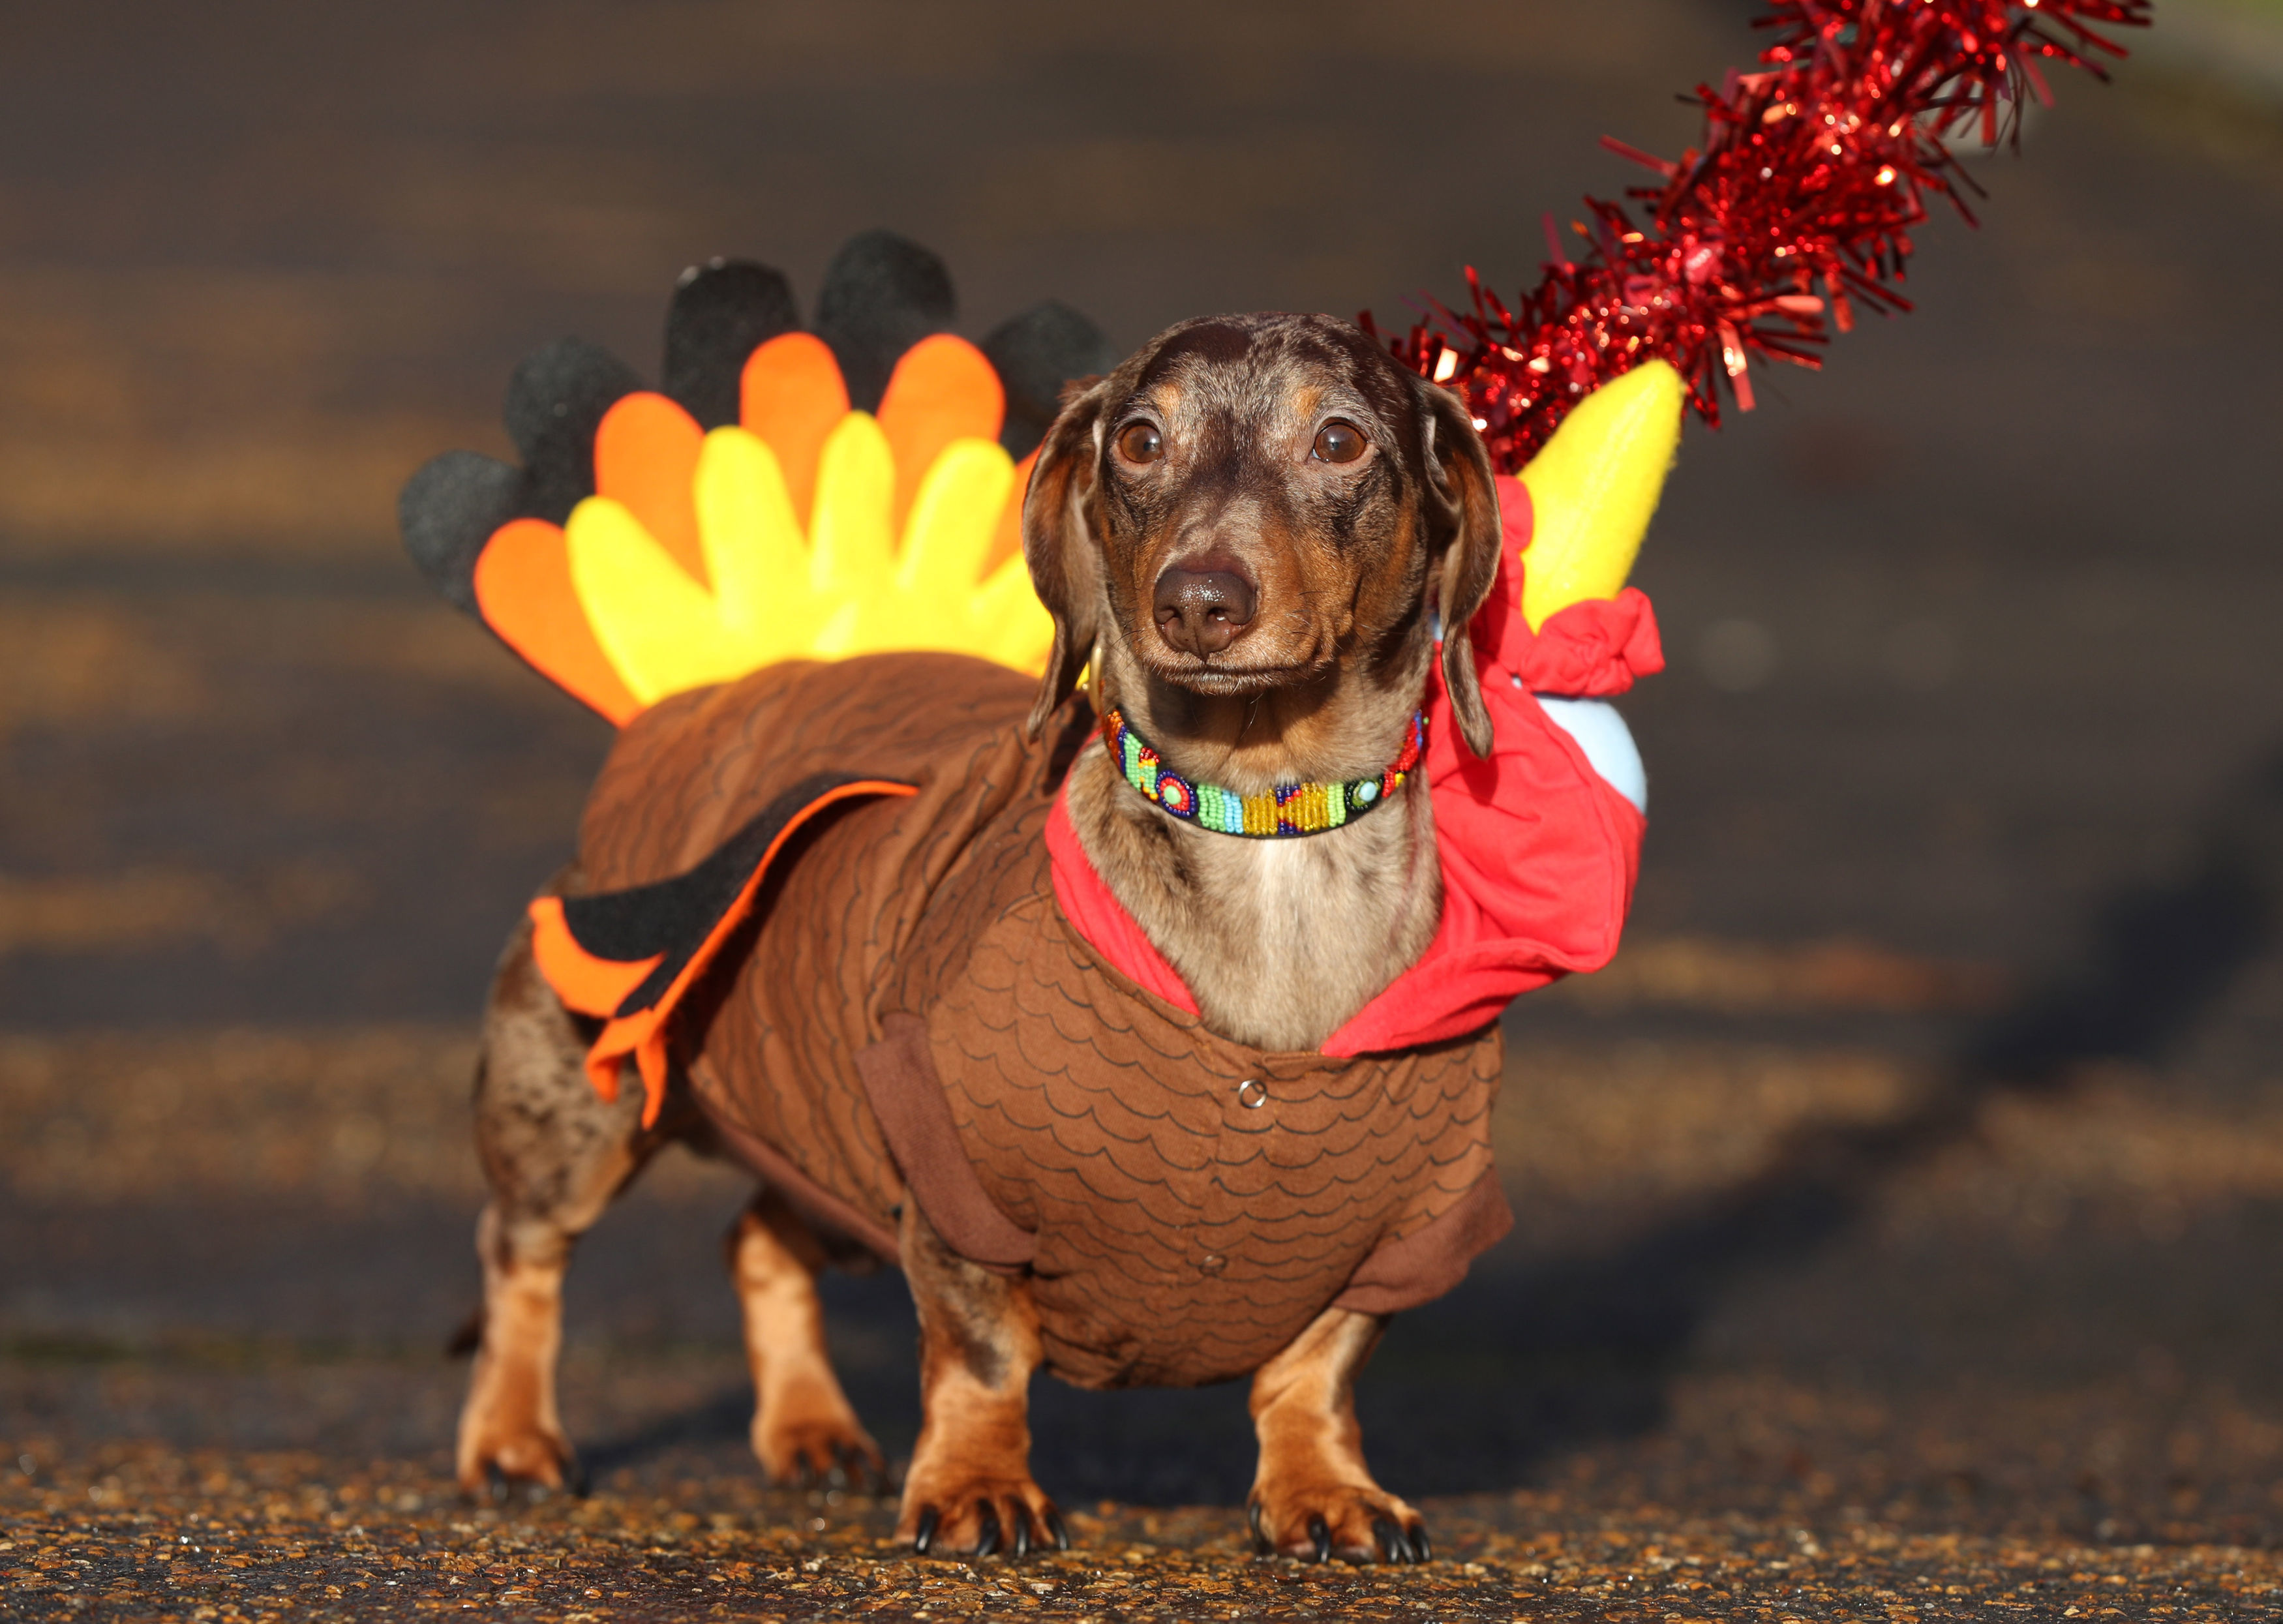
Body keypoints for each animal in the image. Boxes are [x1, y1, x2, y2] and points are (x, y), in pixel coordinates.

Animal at [452, 310, 1507, 1571]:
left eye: (1341, 439)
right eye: (1139, 439)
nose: (1199, 601)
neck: (1261, 816)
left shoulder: (1399, 1230)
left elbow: (1314, 1369)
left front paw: (1326, 1489)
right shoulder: (950, 1173)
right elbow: (982, 1355)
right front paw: (973, 1488)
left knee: (758, 1237)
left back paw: (810, 1432)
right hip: (588, 1105)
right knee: (523, 1255)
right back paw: (512, 1444)